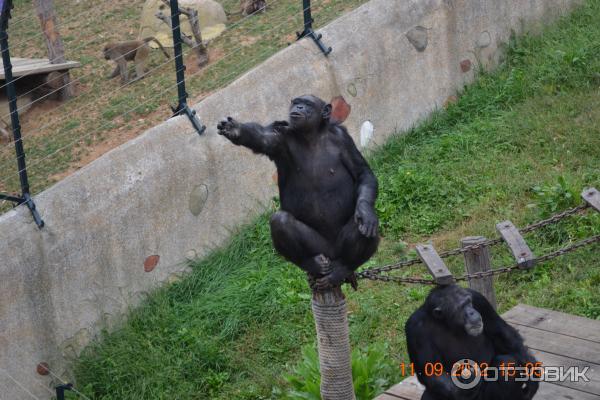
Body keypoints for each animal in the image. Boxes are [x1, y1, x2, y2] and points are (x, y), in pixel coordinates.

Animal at [217, 95, 380, 290]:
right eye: (296, 102)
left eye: (307, 104)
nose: (299, 107)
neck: (312, 136)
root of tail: (331, 255)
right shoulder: (279, 137)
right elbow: (262, 138)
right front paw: (235, 129)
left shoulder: (344, 139)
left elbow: (362, 173)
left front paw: (365, 211)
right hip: (318, 248)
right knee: (280, 221)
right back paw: (312, 264)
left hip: (339, 251)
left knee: (362, 225)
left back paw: (344, 268)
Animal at [408, 284, 540, 400]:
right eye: (461, 306)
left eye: (469, 302)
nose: (472, 312)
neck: (448, 322)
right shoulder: (415, 328)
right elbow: (431, 371)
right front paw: (466, 385)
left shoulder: (479, 300)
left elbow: (502, 333)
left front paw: (532, 374)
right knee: (429, 396)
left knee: (506, 364)